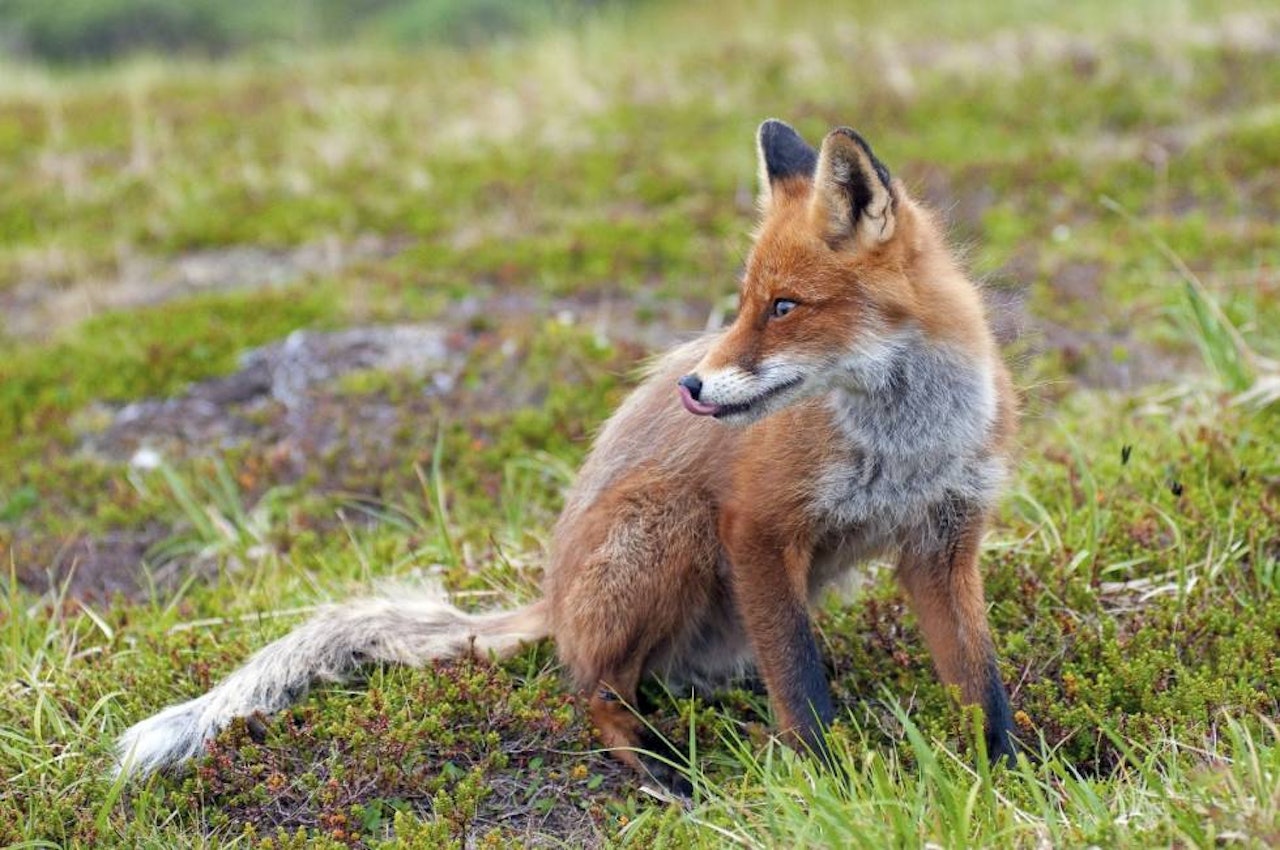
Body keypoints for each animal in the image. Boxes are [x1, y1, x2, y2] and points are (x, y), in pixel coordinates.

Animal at [120, 120, 1018, 788]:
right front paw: (832, 782)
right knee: (588, 685)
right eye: (744, 304)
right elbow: (799, 684)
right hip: (668, 526)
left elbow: (979, 679)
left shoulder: (942, 542)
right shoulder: (757, 525)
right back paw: (653, 762)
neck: (903, 442)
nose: (692, 385)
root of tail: (552, 597)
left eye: (785, 307)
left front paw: (1011, 775)